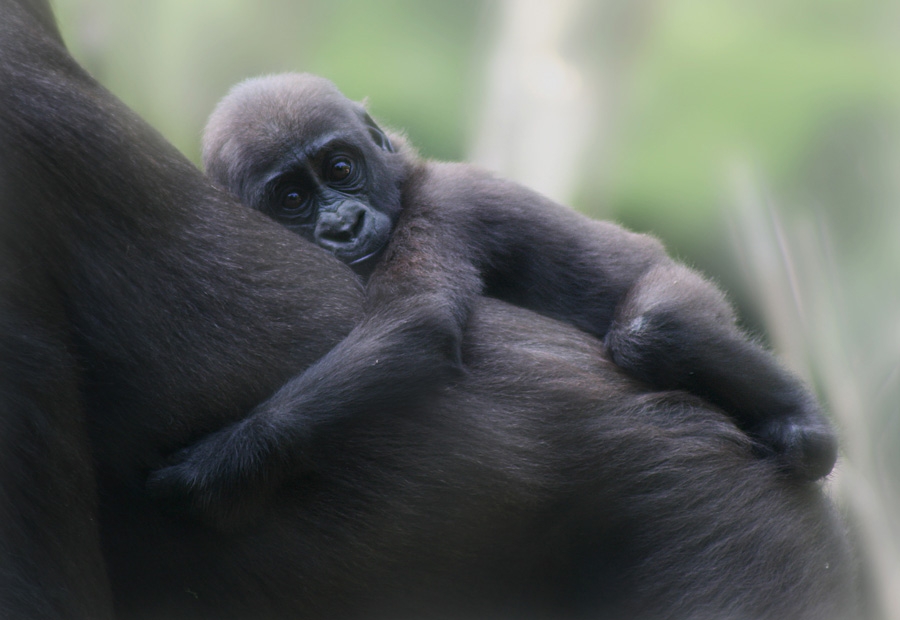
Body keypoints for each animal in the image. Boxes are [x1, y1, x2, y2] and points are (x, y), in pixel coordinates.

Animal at [146, 72, 836, 528]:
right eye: (291, 198)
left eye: (340, 168)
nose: (342, 224)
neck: (404, 180)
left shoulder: (440, 213)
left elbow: (416, 325)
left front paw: (223, 464)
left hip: (681, 280)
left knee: (658, 327)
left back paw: (801, 421)